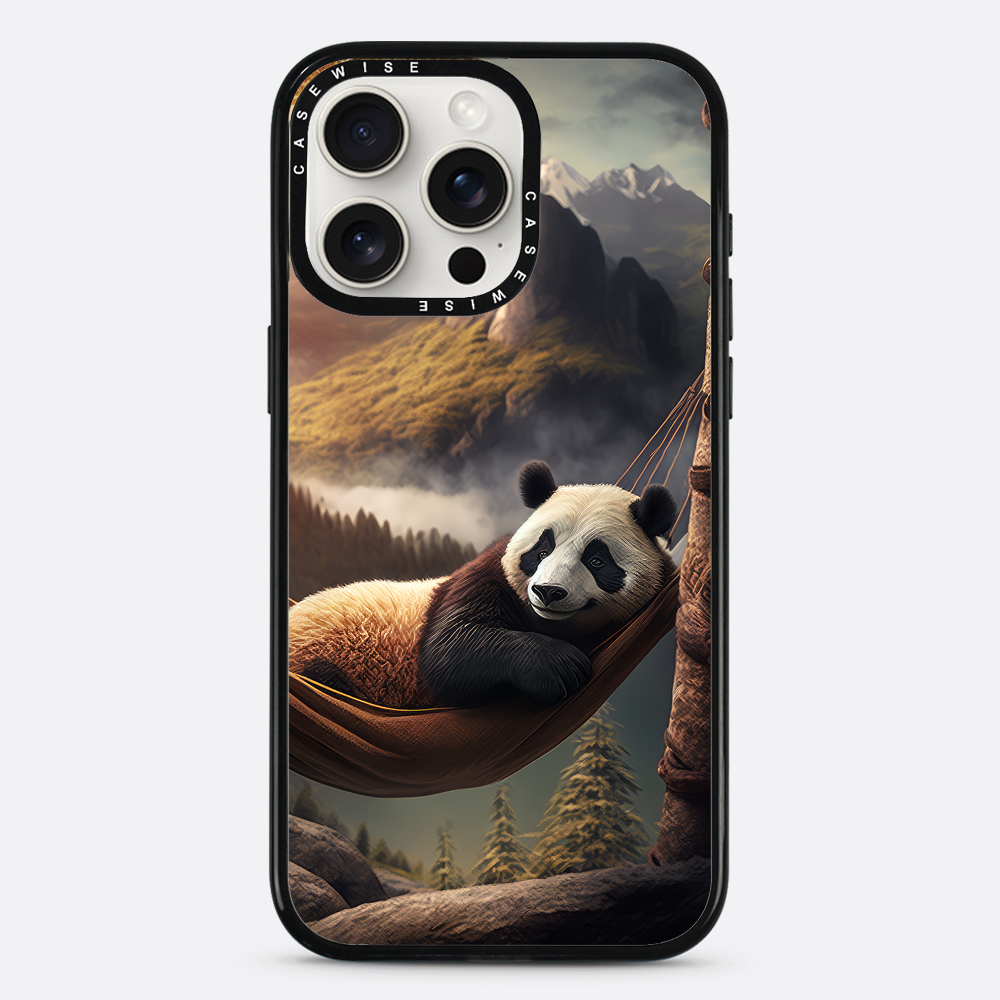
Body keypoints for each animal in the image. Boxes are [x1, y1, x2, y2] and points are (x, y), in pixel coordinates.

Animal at [288, 460, 677, 709]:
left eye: (597, 561)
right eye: (542, 549)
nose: (548, 592)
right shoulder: (484, 577)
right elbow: (451, 648)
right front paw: (561, 667)